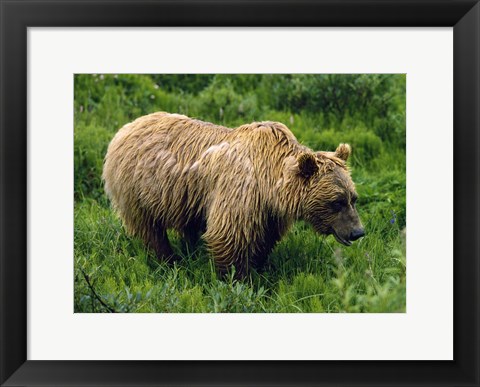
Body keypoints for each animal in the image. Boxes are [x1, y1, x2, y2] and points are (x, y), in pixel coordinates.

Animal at [102, 112, 364, 278]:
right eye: (337, 202)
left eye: (353, 198)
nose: (358, 232)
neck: (270, 181)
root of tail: (126, 127)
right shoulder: (241, 189)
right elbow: (229, 235)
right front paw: (237, 279)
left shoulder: (269, 211)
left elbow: (265, 238)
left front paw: (259, 267)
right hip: (137, 189)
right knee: (150, 229)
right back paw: (168, 259)